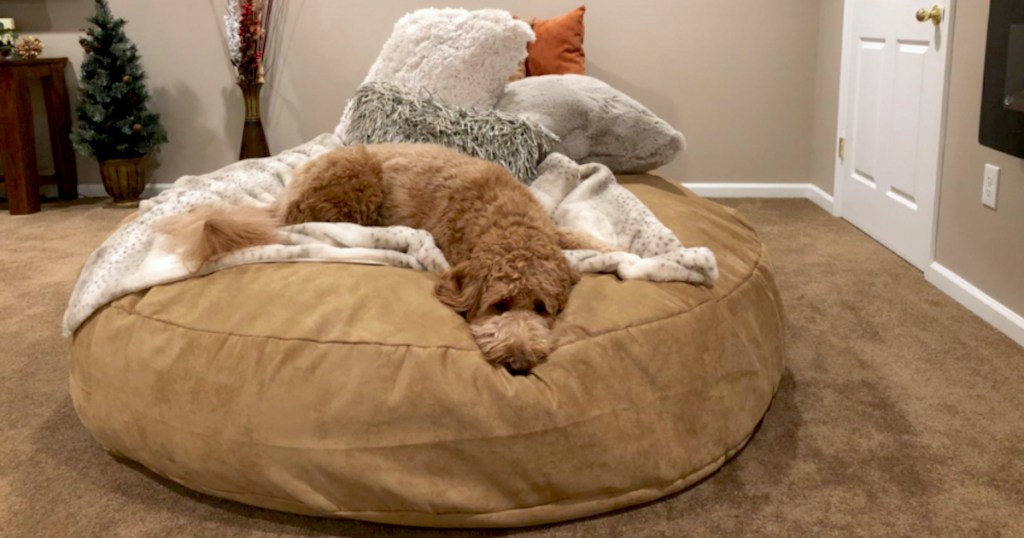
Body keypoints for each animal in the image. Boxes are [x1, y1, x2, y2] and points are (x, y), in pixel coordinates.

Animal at [163, 143, 610, 373]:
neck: (506, 223)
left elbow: (582, 237)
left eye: (541, 308)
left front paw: (612, 249)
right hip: (355, 184)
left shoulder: (550, 229)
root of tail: (287, 193)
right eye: (499, 305)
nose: (518, 364)